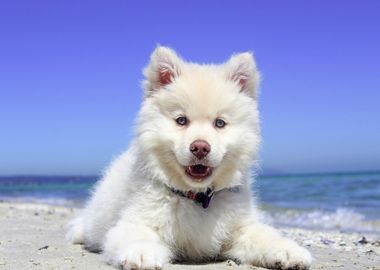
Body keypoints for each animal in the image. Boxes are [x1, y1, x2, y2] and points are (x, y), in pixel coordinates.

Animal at [67, 47, 312, 270]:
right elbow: (137, 235)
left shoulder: (240, 228)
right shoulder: (136, 220)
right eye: (181, 120)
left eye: (220, 123)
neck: (197, 197)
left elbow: (264, 235)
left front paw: (288, 251)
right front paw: (142, 253)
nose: (200, 147)